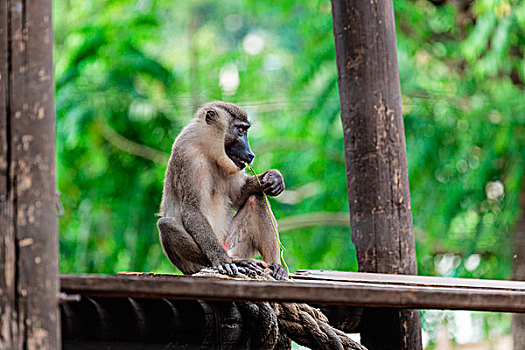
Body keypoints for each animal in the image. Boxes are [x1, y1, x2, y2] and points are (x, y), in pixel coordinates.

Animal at [157, 100, 286, 278]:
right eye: (240, 131)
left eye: (245, 130)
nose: (250, 154)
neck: (208, 149)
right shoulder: (189, 156)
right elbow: (192, 208)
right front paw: (222, 260)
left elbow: (239, 195)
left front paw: (273, 178)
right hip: (198, 262)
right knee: (166, 224)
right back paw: (236, 262)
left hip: (232, 243)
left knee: (257, 199)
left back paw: (276, 266)